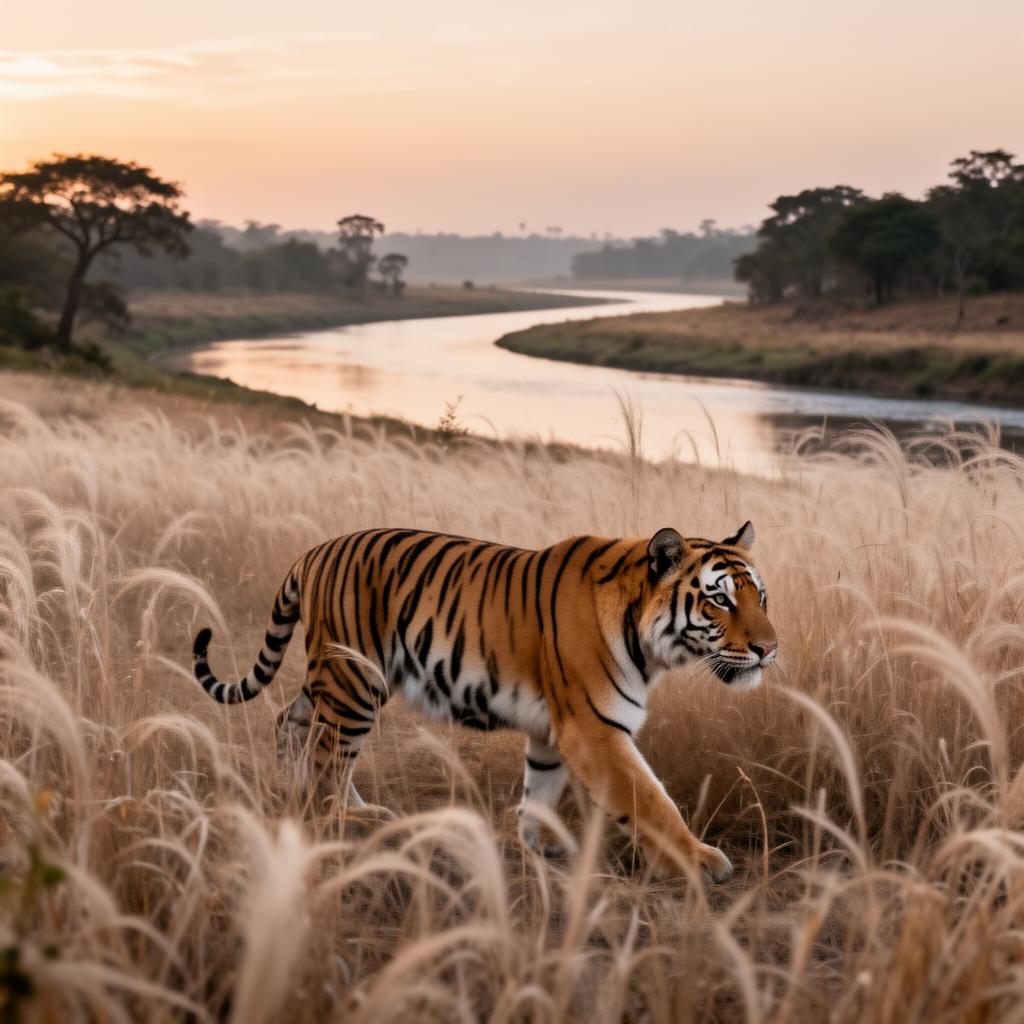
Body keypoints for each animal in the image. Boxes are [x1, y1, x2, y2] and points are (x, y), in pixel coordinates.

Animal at [192, 522, 777, 881]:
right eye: (720, 600)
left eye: (761, 598)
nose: (770, 649)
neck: (650, 644)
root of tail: (314, 551)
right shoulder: (594, 727)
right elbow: (650, 800)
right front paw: (698, 861)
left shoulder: (556, 730)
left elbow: (541, 790)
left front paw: (538, 845)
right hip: (354, 681)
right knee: (328, 757)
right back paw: (342, 819)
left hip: (334, 679)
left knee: (293, 726)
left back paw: (313, 798)